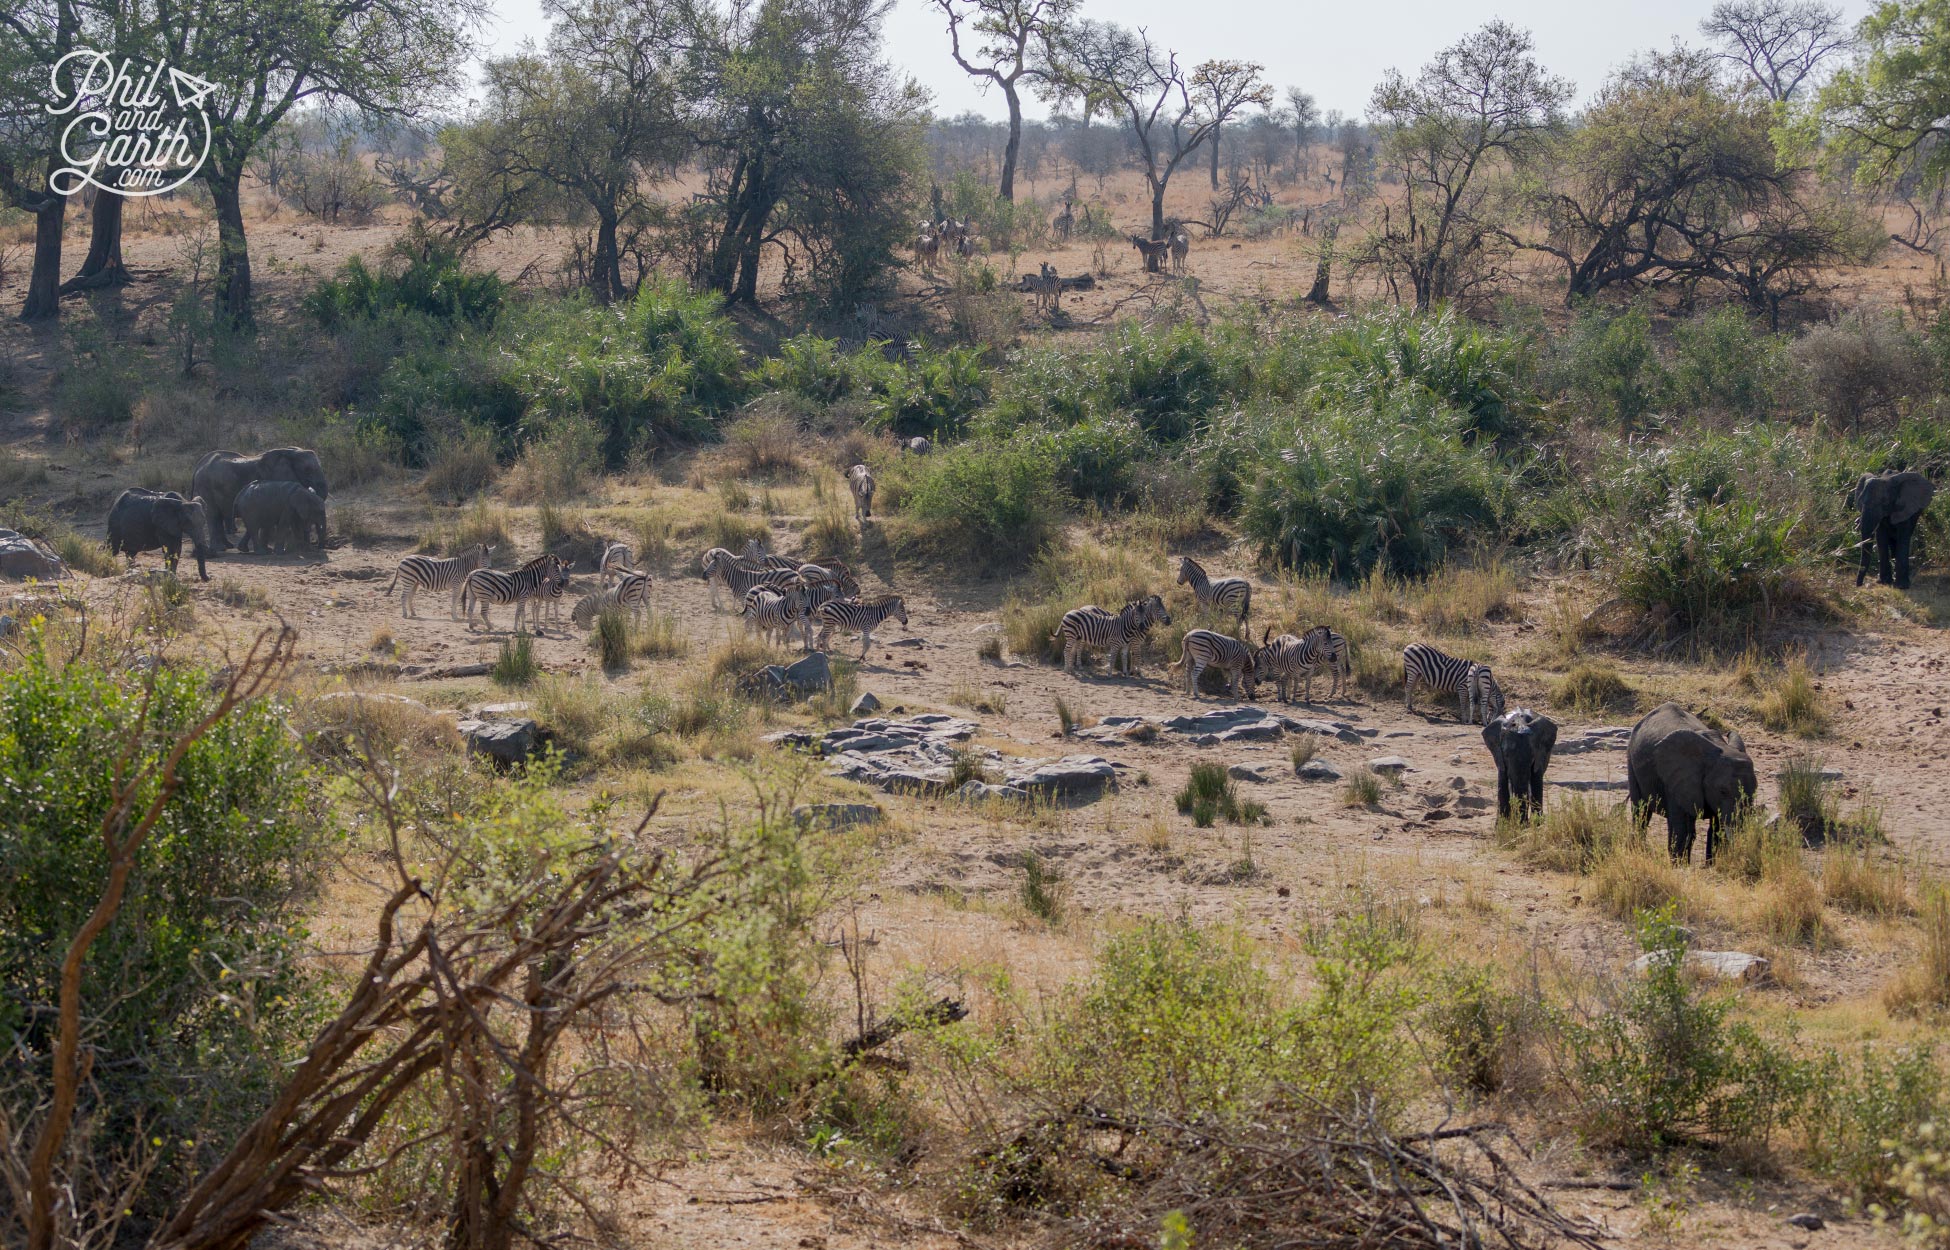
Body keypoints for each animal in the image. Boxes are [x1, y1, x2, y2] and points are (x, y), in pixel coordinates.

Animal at [193, 446, 327, 549]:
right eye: (308, 470)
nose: (318, 546)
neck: (291, 452)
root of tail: (199, 466)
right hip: (205, 486)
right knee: (212, 515)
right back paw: (219, 548)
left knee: (219, 516)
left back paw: (228, 546)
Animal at [1622, 702, 1762, 865]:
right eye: (1723, 791)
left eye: (1755, 790)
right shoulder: (1677, 781)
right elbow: (1684, 829)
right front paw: (1680, 867)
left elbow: (1717, 828)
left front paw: (1711, 866)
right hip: (1631, 759)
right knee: (1641, 812)